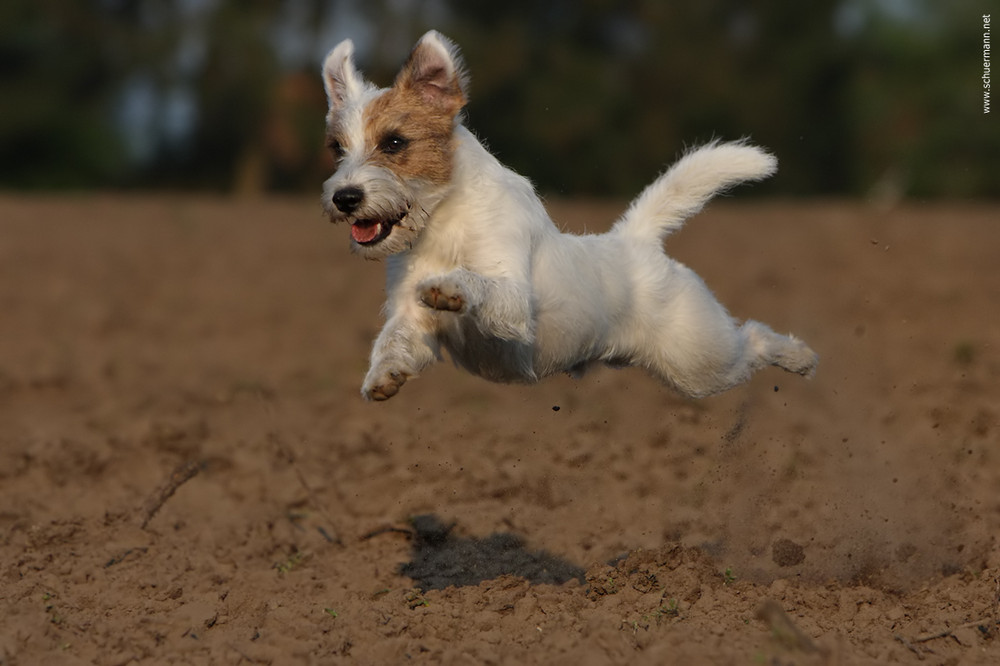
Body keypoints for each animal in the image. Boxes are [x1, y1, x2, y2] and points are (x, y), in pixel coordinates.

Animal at [322, 31, 820, 400]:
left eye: (394, 143)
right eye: (337, 149)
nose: (344, 197)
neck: (441, 222)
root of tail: (635, 240)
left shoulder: (514, 302)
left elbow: (481, 283)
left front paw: (450, 287)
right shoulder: (409, 314)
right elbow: (395, 337)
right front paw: (384, 373)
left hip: (701, 360)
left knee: (753, 337)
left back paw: (799, 356)